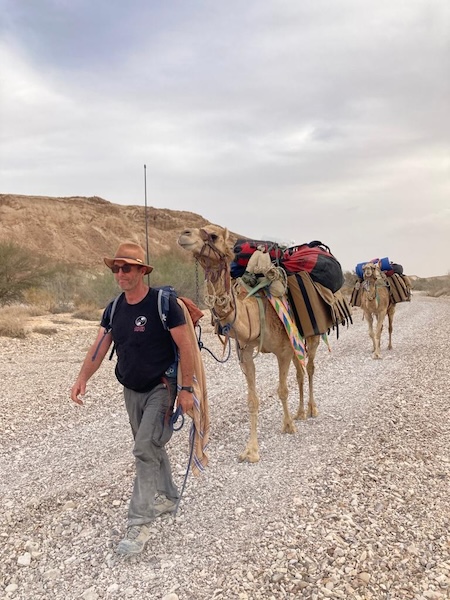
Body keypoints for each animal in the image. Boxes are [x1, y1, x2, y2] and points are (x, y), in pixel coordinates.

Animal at [177, 225, 320, 464]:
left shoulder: (282, 350)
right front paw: (251, 450)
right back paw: (300, 412)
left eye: (213, 235)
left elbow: (282, 390)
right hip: (295, 341)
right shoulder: (245, 351)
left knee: (309, 368)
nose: (184, 234)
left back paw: (312, 409)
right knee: (300, 372)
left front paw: (288, 425)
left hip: (311, 335)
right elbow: (252, 400)